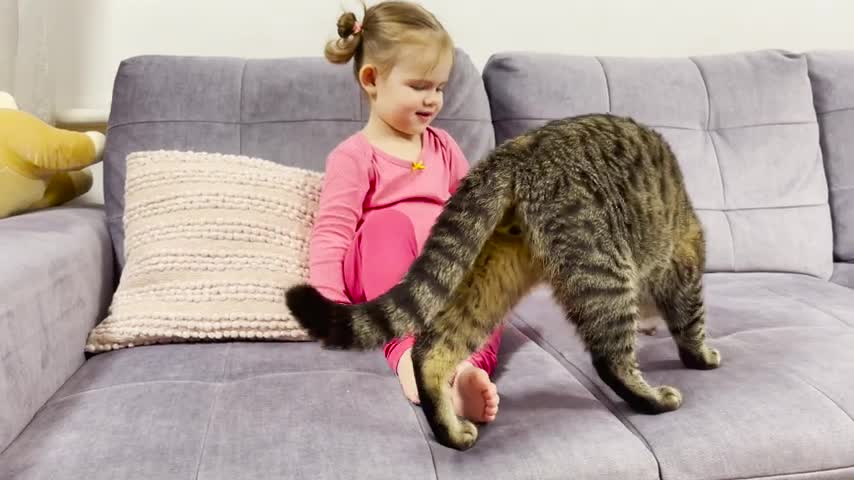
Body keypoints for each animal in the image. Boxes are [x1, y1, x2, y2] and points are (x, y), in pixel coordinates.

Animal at [286, 112, 724, 450]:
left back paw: (451, 430)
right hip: (601, 265)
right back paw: (652, 398)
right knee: (609, 358)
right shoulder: (684, 261)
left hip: (493, 276)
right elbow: (691, 322)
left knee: (430, 350)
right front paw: (700, 355)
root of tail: (518, 151)